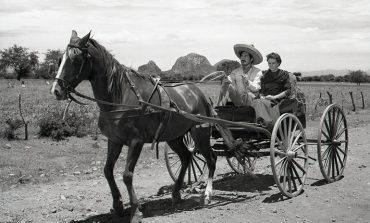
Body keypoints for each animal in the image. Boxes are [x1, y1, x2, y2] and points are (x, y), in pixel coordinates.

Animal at [50, 30, 215, 222]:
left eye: (76, 60)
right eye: (60, 60)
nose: (56, 90)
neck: (120, 97)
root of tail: (198, 92)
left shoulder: (136, 141)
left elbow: (127, 175)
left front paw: (135, 210)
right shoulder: (114, 140)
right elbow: (107, 171)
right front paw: (118, 205)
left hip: (200, 133)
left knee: (211, 159)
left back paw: (207, 195)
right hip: (175, 136)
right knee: (186, 157)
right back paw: (176, 193)